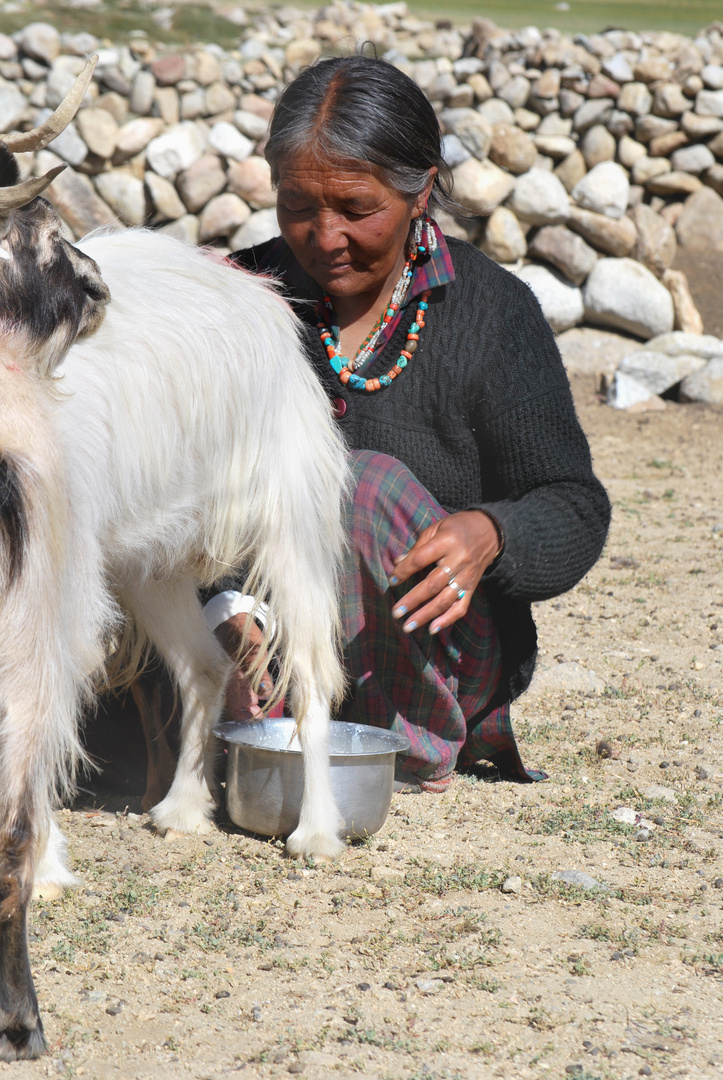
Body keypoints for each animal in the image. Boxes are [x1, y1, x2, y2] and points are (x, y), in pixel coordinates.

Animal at [0, 59, 350, 1062]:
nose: (95, 286)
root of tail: (261, 297)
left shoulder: (54, 591)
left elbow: (42, 727)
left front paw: (49, 871)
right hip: (148, 563)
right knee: (201, 665)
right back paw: (184, 809)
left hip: (291, 513)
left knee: (311, 672)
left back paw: (316, 833)